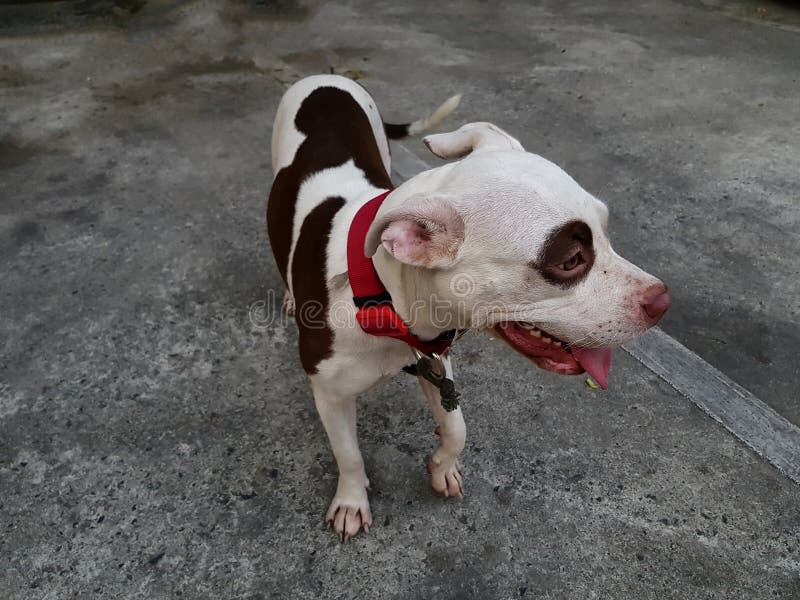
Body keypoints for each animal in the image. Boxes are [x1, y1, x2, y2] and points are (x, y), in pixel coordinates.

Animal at [268, 72, 668, 540]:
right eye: (571, 260)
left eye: (605, 230)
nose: (663, 300)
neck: (384, 298)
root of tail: (326, 76)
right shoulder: (329, 394)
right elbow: (348, 454)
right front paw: (351, 501)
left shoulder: (434, 358)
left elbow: (457, 425)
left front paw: (444, 466)